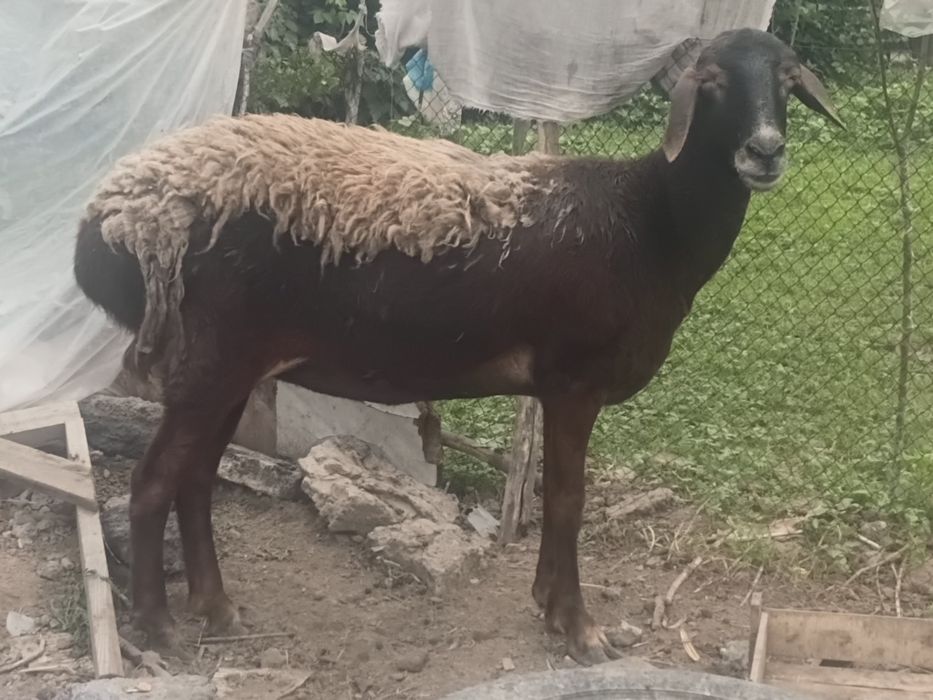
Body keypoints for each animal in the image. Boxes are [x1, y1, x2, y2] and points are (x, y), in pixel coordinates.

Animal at [73, 29, 842, 665]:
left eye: (787, 76)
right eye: (709, 81)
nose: (765, 151)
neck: (650, 220)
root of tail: (109, 222)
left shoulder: (557, 387)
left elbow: (551, 495)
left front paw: (547, 605)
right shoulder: (574, 380)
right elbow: (567, 499)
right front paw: (578, 629)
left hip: (230, 366)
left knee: (196, 479)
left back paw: (217, 609)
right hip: (210, 358)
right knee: (152, 484)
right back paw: (159, 628)